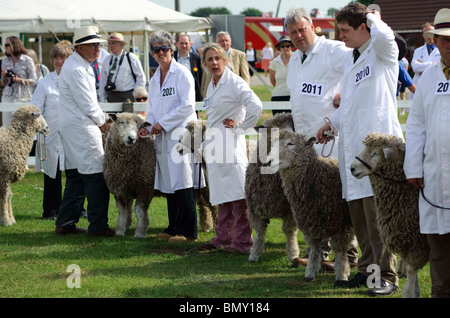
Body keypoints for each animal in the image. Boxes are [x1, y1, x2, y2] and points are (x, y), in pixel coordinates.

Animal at [266, 129, 354, 280]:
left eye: (290, 143)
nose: (269, 161)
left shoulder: (342, 225)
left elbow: (340, 251)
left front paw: (341, 275)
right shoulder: (311, 222)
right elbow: (314, 250)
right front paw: (310, 272)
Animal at [348, 132, 428, 298]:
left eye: (375, 154)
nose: (352, 168)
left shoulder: (418, 242)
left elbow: (412, 270)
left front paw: (409, 292)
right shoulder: (408, 241)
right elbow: (413, 272)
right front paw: (416, 292)